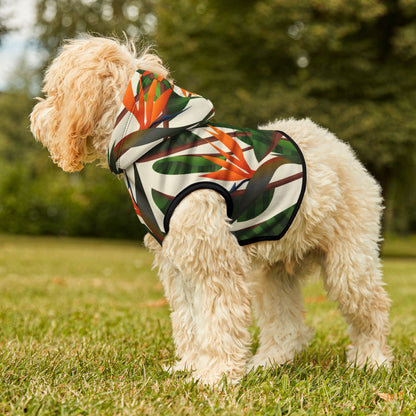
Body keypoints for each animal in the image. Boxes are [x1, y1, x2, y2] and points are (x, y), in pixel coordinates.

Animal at [30, 36, 394, 386]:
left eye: (54, 92)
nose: (35, 117)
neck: (153, 141)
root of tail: (341, 148)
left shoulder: (214, 261)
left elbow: (218, 320)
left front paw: (215, 375)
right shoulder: (177, 265)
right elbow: (189, 321)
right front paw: (191, 366)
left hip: (349, 263)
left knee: (372, 309)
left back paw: (372, 360)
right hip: (273, 273)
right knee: (287, 326)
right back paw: (268, 362)